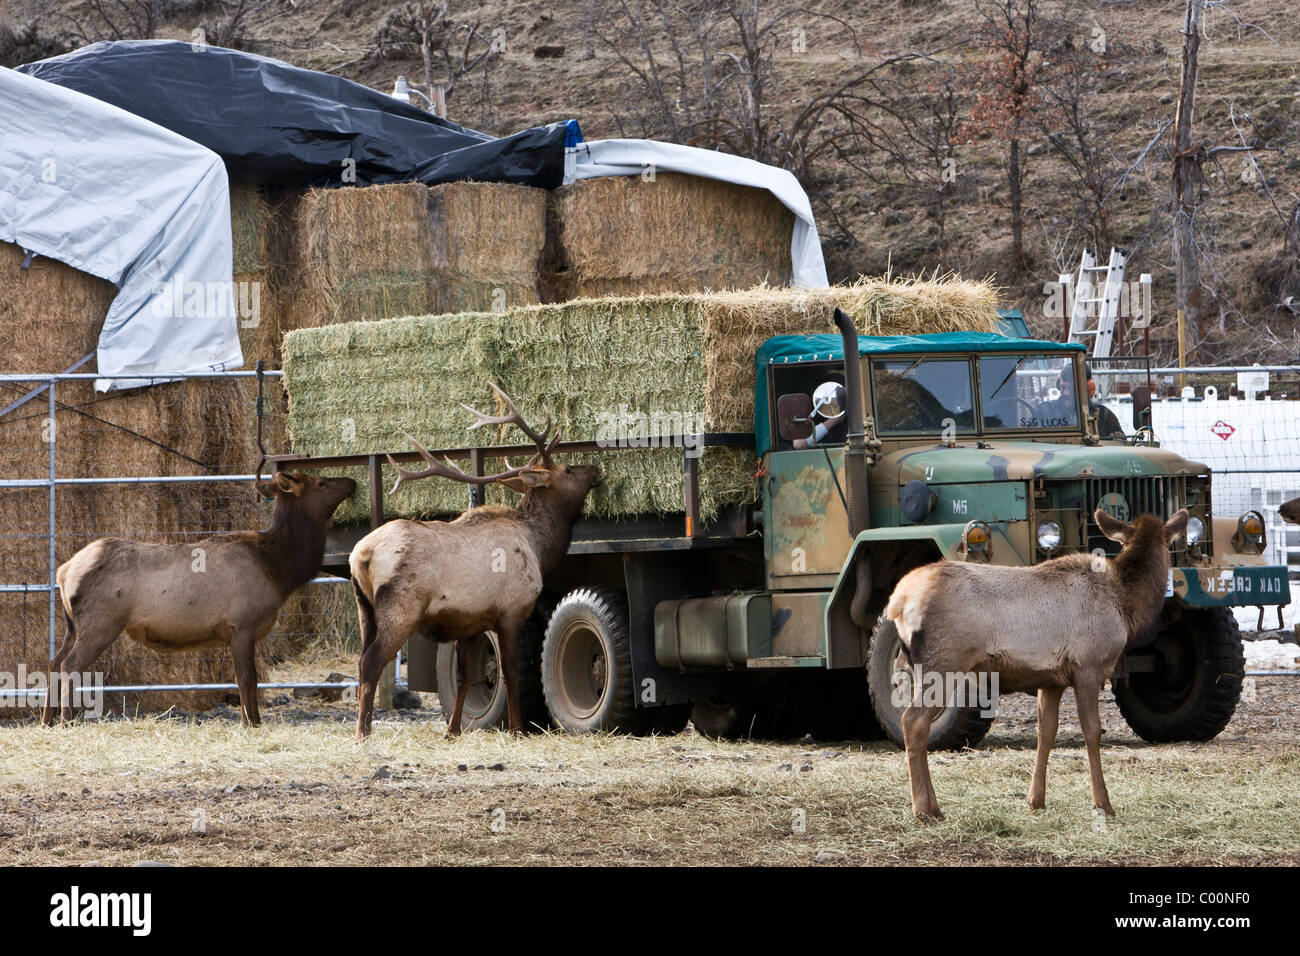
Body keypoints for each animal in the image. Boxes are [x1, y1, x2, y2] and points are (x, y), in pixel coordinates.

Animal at [45, 471, 356, 727]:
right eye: (322, 482)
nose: (352, 482)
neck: (279, 571)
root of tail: (64, 571)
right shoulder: (242, 625)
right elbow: (247, 679)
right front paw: (251, 723)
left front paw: (253, 720)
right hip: (101, 622)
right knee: (69, 665)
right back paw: (65, 721)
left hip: (73, 626)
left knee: (53, 663)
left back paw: (47, 720)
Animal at [349, 383, 600, 740]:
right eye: (567, 469)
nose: (595, 470)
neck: (539, 545)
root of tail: (362, 555)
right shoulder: (512, 611)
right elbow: (510, 672)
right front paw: (517, 728)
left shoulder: (469, 621)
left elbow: (464, 676)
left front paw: (453, 730)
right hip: (401, 609)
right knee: (370, 662)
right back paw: (363, 731)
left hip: (363, 609)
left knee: (360, 661)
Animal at [885, 508, 1190, 821]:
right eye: (1170, 545)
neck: (1125, 605)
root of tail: (898, 603)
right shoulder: (1088, 666)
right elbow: (1092, 731)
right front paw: (1103, 804)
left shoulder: (1051, 680)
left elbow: (1046, 732)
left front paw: (1036, 800)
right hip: (943, 663)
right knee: (913, 721)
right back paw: (924, 809)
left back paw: (933, 807)